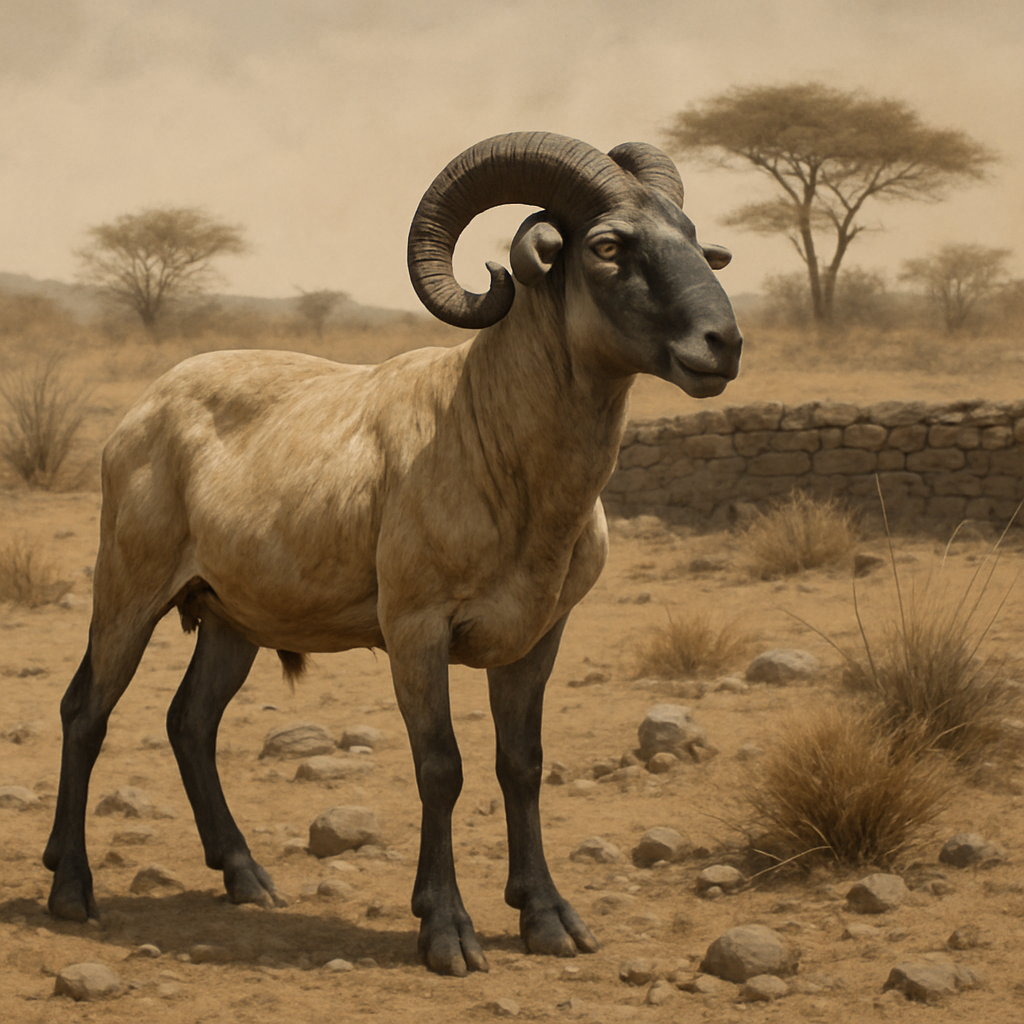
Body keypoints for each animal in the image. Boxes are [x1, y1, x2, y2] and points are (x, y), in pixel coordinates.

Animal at [43, 131, 743, 975]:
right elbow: (440, 767)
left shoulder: (539, 636)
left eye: (698, 242)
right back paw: (71, 892)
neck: (491, 442)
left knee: (191, 722)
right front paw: (447, 930)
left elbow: (522, 764)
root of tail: (141, 411)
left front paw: (548, 918)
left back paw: (246, 876)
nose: (723, 344)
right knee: (86, 713)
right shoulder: (416, 629)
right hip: (128, 588)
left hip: (232, 619)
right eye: (608, 245)